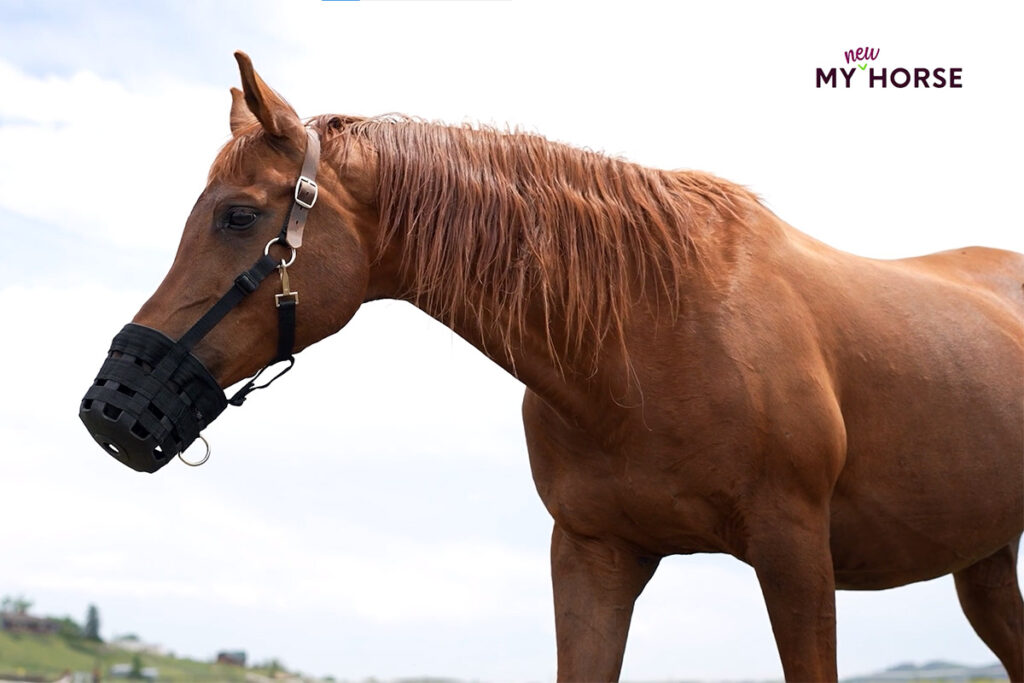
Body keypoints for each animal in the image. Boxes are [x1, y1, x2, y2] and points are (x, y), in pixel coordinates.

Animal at [80, 52, 1024, 682]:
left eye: (238, 216)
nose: (110, 405)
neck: (650, 334)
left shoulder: (795, 554)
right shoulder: (591, 556)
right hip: (984, 559)